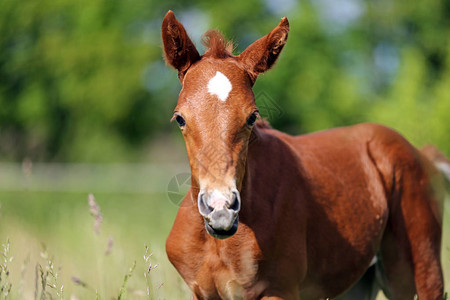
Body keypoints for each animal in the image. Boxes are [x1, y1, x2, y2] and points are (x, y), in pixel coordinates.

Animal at [161, 9, 446, 300]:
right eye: (180, 118)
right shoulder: (202, 293)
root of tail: (422, 156)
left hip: (421, 268)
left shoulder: (280, 289)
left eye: (252, 117)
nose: (221, 210)